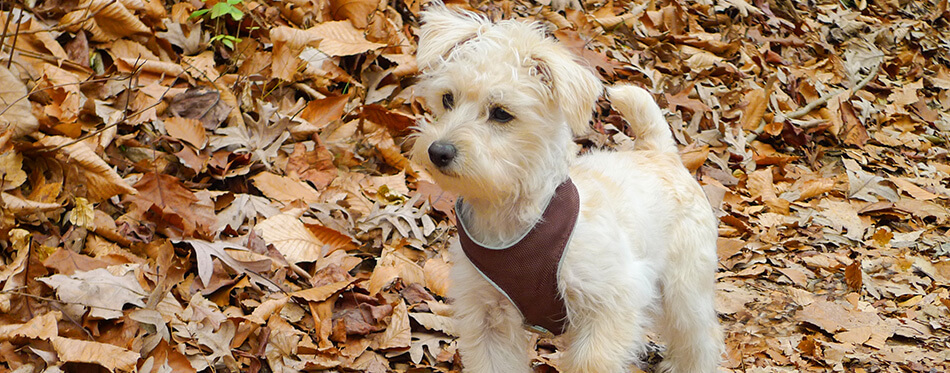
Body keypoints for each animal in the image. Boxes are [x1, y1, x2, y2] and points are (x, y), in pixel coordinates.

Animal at [412, 4, 724, 370]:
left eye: (501, 113)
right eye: (448, 99)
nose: (439, 151)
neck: (518, 219)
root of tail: (660, 152)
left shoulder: (612, 302)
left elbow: (592, 360)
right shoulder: (487, 320)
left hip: (685, 290)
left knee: (701, 340)